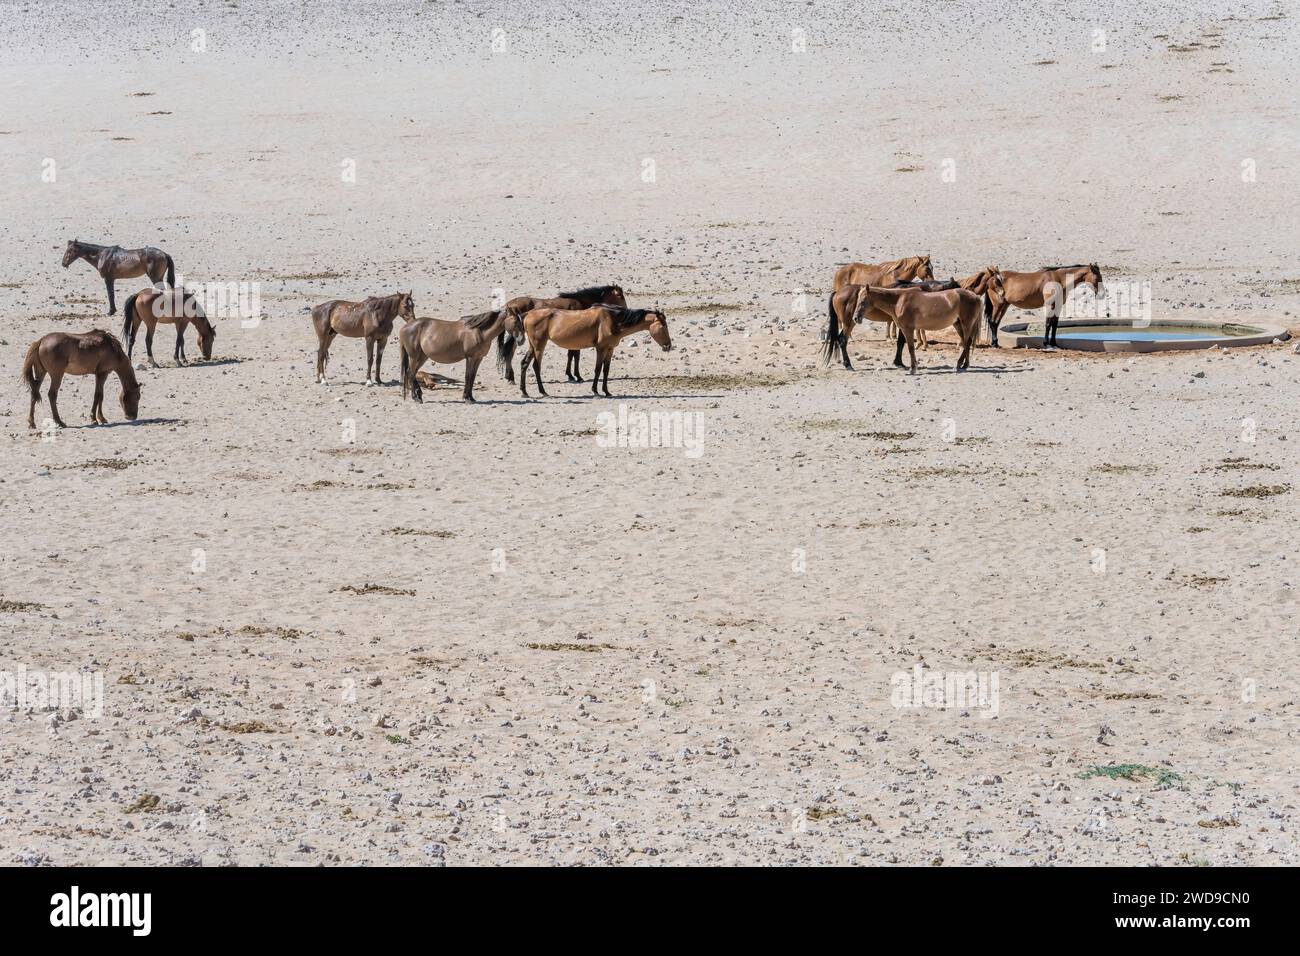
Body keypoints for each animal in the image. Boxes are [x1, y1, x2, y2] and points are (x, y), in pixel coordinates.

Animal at [518, 306, 672, 398]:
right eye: (663, 325)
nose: (668, 346)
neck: (613, 321)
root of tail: (528, 314)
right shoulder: (601, 348)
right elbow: (597, 369)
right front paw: (595, 391)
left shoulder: (610, 349)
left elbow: (606, 370)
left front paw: (607, 391)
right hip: (539, 345)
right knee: (536, 366)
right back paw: (543, 391)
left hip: (533, 346)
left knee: (524, 363)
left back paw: (524, 392)